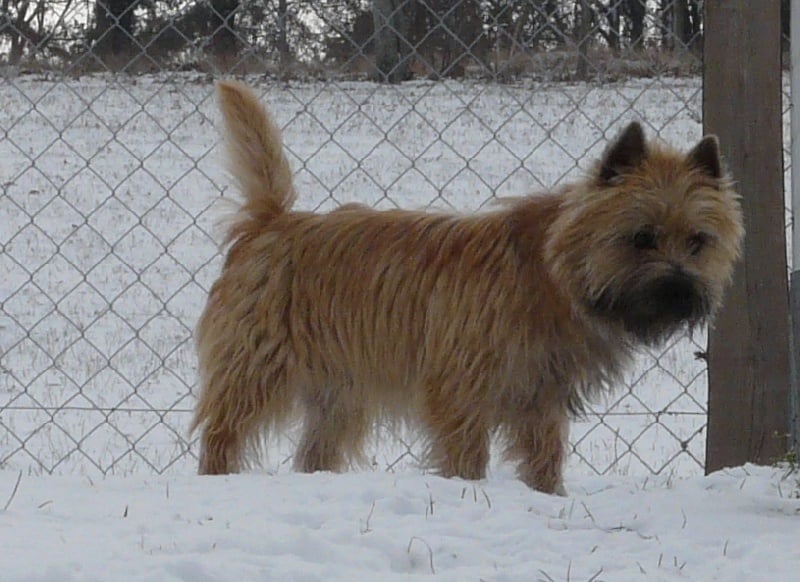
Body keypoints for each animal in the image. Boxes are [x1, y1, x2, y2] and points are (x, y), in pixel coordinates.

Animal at [192, 80, 744, 496]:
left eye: (698, 241)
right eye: (641, 237)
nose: (679, 292)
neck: (550, 274)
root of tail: (271, 221)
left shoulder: (540, 398)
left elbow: (545, 458)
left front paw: (548, 498)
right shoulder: (461, 391)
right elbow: (467, 455)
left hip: (339, 392)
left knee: (314, 452)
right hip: (255, 368)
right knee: (222, 432)